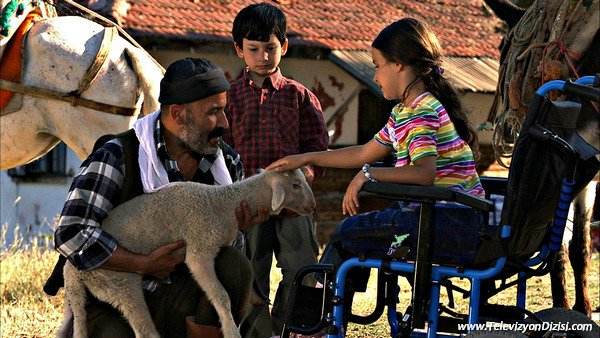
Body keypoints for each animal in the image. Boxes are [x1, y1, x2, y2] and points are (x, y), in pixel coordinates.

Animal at [58, 169, 316, 338]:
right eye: (295, 185)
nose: (312, 207)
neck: (224, 204)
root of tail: (74, 271)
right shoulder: (199, 251)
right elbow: (221, 296)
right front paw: (231, 331)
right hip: (120, 282)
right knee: (144, 330)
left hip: (83, 297)